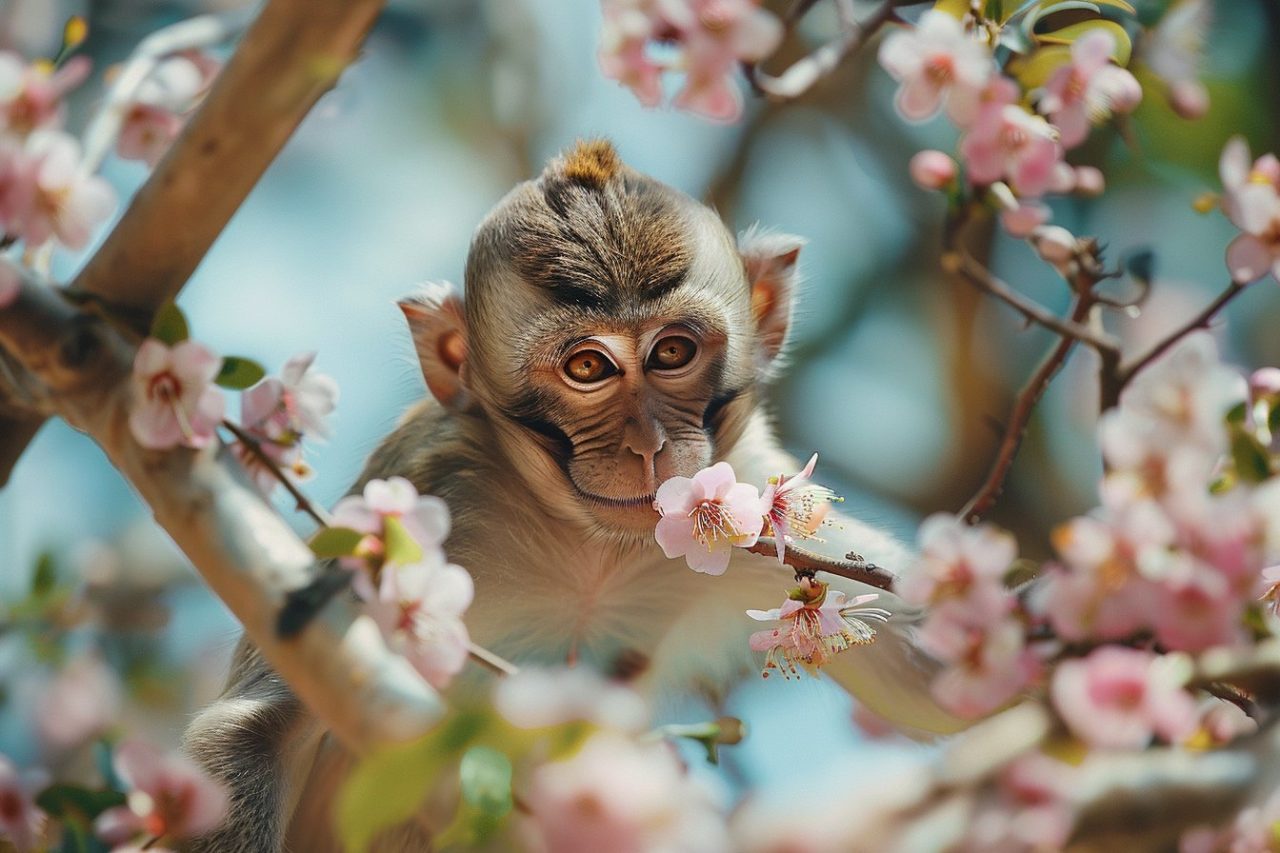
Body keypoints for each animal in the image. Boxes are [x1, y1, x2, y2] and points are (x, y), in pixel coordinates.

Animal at [182, 140, 965, 852]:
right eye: (588, 367)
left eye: (672, 352)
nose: (647, 445)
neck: (592, 548)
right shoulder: (432, 480)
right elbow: (257, 730)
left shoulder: (752, 488)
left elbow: (943, 679)